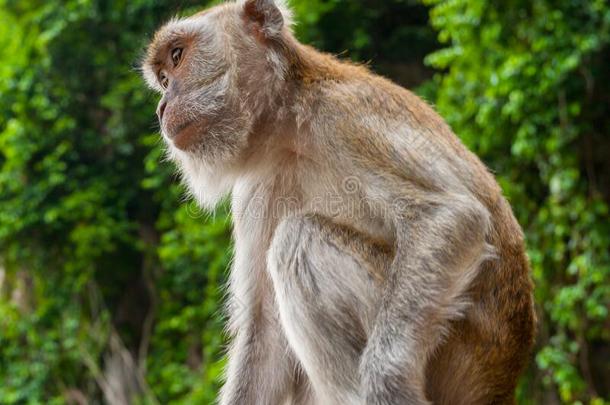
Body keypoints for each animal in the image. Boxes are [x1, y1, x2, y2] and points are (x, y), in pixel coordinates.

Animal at [141, 1, 532, 402]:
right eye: (162, 78)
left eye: (178, 56)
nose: (162, 106)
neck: (288, 127)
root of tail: (499, 384)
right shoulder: (254, 190)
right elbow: (264, 329)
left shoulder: (346, 117)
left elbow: (449, 216)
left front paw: (386, 376)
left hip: (457, 345)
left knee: (299, 239)